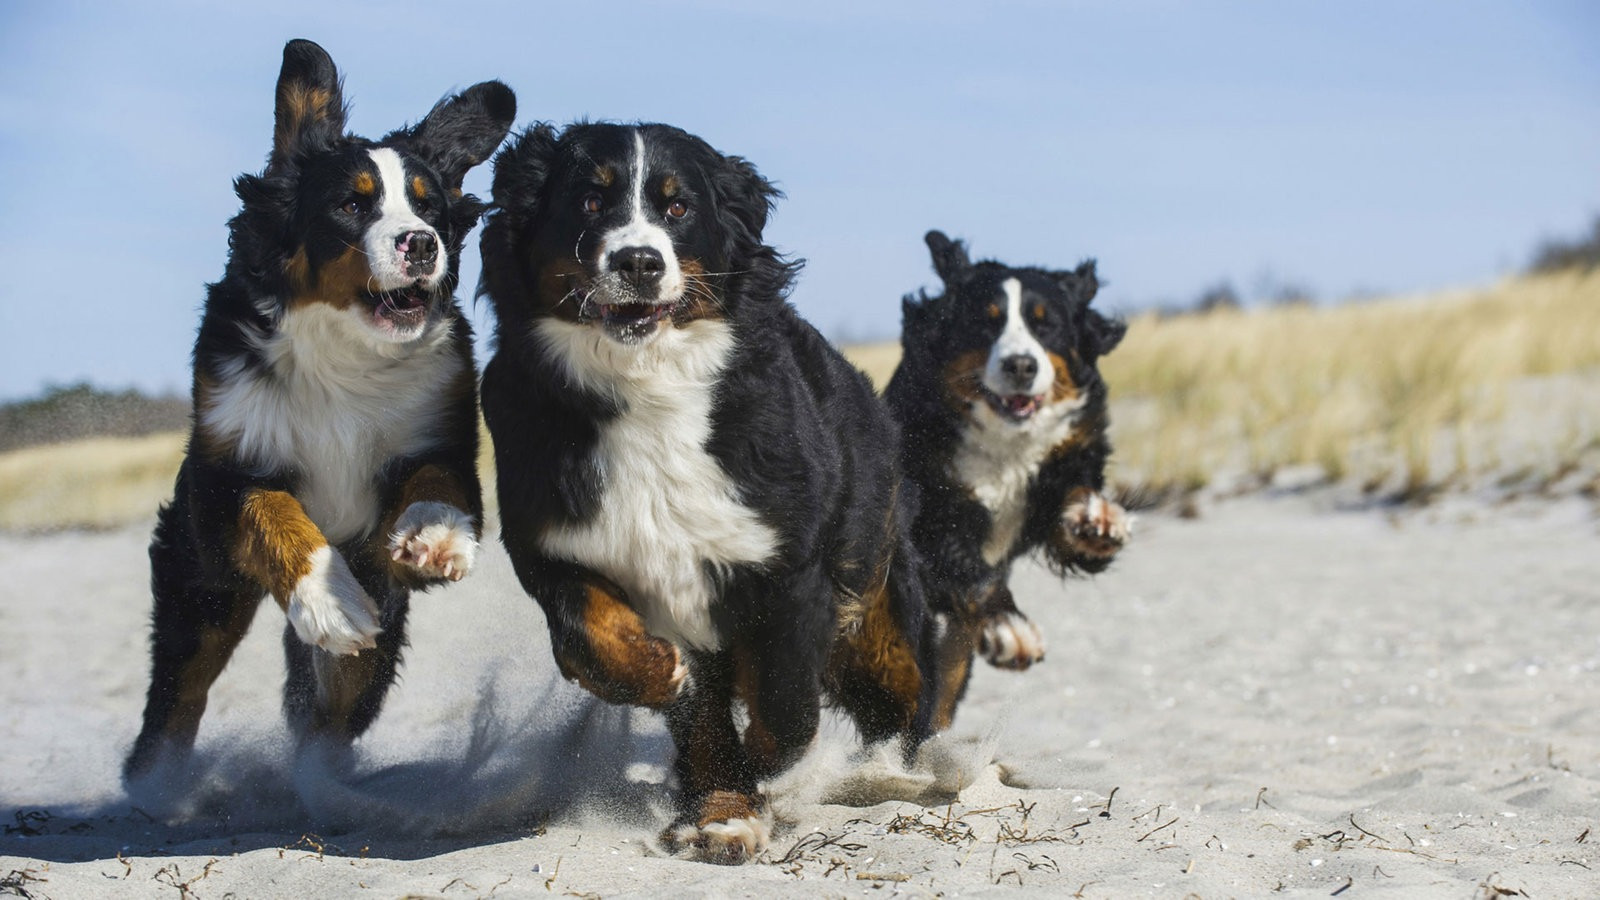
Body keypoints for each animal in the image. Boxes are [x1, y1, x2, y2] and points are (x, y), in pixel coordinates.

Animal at [124, 36, 515, 778]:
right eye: (351, 206)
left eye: (430, 208)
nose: (421, 244)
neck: (344, 355)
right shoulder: (224, 474)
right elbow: (272, 509)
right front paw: (326, 601)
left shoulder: (438, 436)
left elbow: (438, 482)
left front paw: (435, 537)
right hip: (202, 587)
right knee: (179, 692)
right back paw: (157, 782)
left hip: (374, 642)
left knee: (330, 716)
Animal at [473, 122, 934, 858]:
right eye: (590, 200)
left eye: (677, 206)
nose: (638, 261)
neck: (643, 387)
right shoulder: (556, 546)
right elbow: (595, 640)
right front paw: (662, 677)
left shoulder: (783, 564)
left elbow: (784, 700)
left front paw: (768, 764)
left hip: (874, 609)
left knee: (901, 694)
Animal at [883, 229, 1132, 730]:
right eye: (987, 323)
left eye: (1045, 326)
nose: (1021, 365)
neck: (1005, 445)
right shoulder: (930, 514)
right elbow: (971, 573)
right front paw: (1010, 629)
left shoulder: (1060, 463)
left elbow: (1075, 493)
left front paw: (1095, 519)